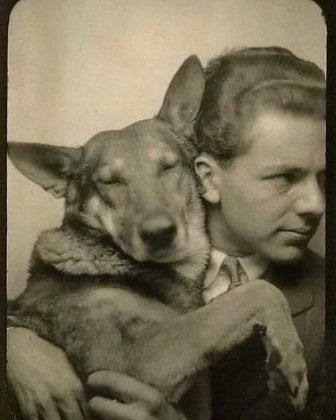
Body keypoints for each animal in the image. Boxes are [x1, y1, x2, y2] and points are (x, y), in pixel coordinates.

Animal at [7, 55, 308, 416]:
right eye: (111, 182)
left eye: (168, 167)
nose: (159, 234)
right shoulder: (137, 358)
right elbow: (258, 293)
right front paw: (290, 358)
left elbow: (243, 298)